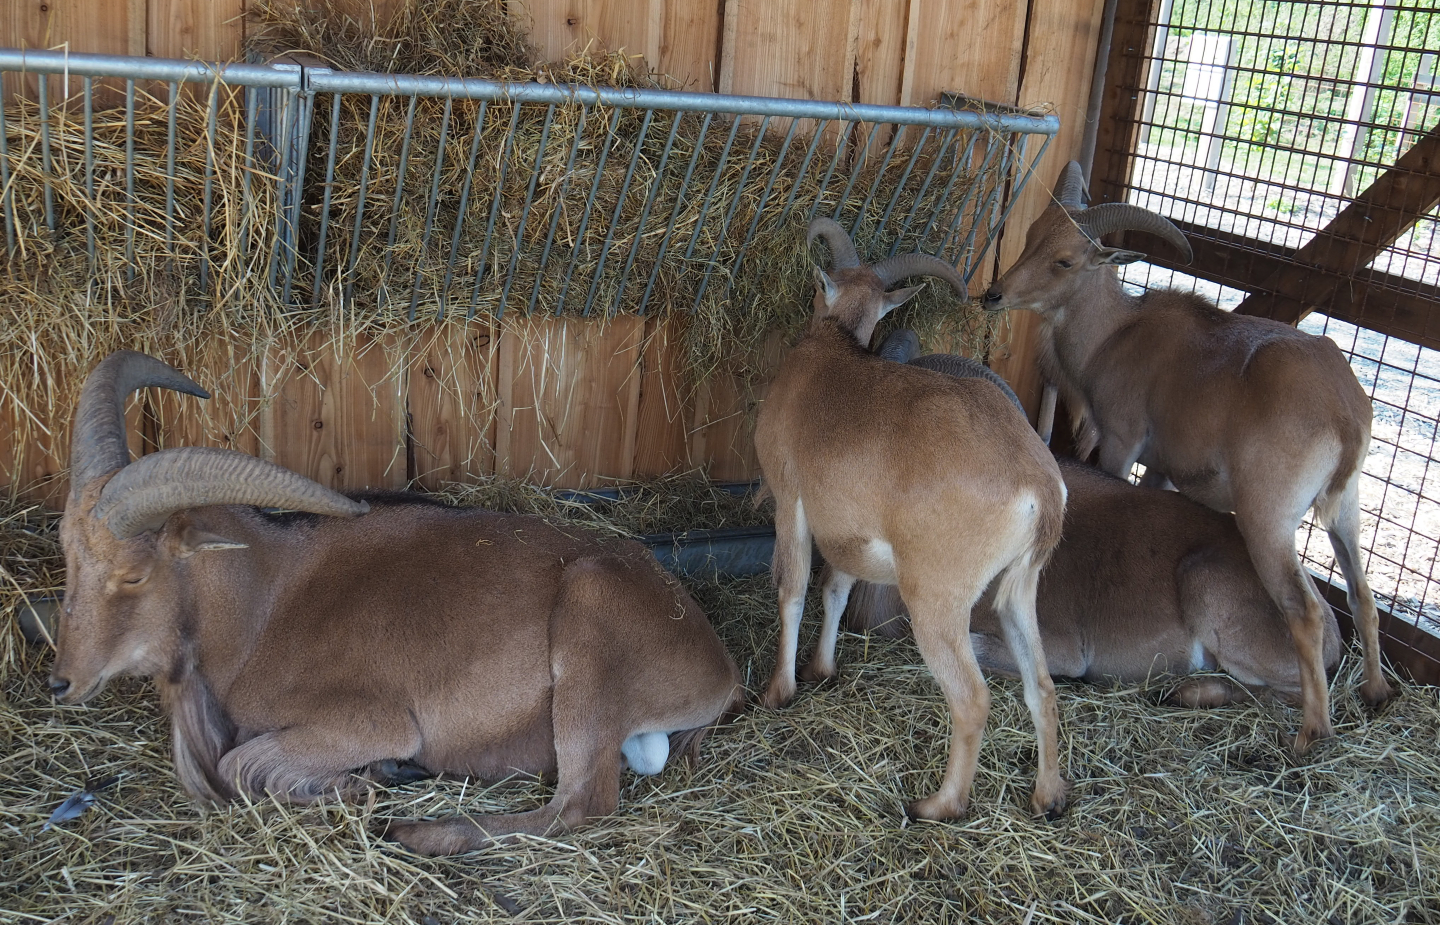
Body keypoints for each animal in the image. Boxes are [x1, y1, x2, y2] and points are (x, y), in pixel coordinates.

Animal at [50, 350, 742, 856]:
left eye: (133, 576)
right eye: (67, 555)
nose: (62, 681)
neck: (260, 612)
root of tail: (720, 664)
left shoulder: (369, 720)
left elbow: (243, 766)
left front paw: (369, 782)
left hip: (590, 635)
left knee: (581, 804)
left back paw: (420, 831)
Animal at [751, 219, 1069, 822]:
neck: (827, 350)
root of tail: (1040, 487)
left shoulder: (791, 501)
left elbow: (793, 589)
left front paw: (779, 690)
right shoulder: (850, 531)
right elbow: (835, 588)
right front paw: (822, 669)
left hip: (936, 595)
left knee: (972, 699)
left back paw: (938, 804)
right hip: (1020, 588)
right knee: (1041, 684)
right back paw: (1048, 796)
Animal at [982, 161, 1391, 753]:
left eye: (1065, 259)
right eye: (1033, 234)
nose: (993, 295)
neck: (1115, 334)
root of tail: (1346, 412)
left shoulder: (1122, 437)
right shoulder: (1162, 464)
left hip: (1268, 517)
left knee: (1306, 613)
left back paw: (1307, 731)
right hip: (1348, 505)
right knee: (1360, 593)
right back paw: (1376, 692)